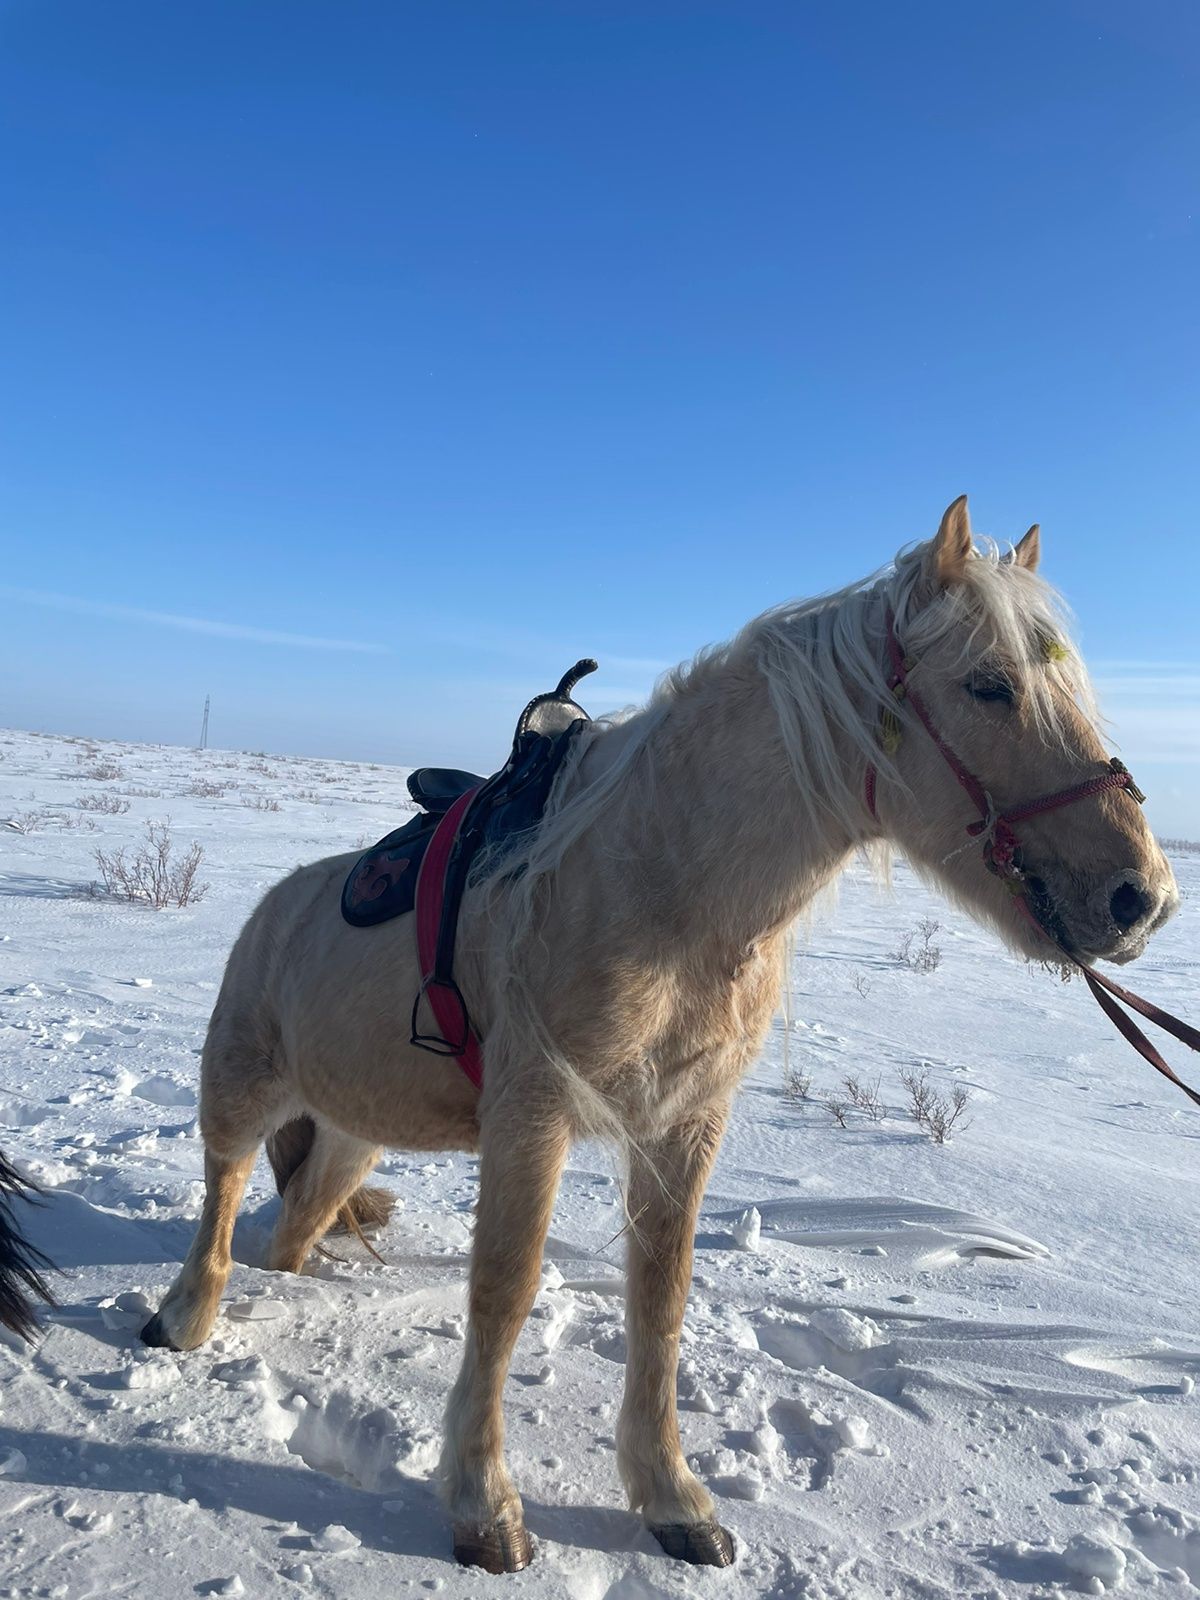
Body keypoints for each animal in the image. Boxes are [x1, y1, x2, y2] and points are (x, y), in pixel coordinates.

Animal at [143, 502, 1184, 1574]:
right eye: (990, 685)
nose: (1141, 899)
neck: (667, 890)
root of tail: (274, 906)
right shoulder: (533, 1114)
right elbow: (504, 1290)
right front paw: (483, 1506)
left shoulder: (683, 1123)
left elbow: (662, 1296)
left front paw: (671, 1496)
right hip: (242, 1081)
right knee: (224, 1188)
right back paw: (184, 1317)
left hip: (355, 1130)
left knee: (294, 1223)